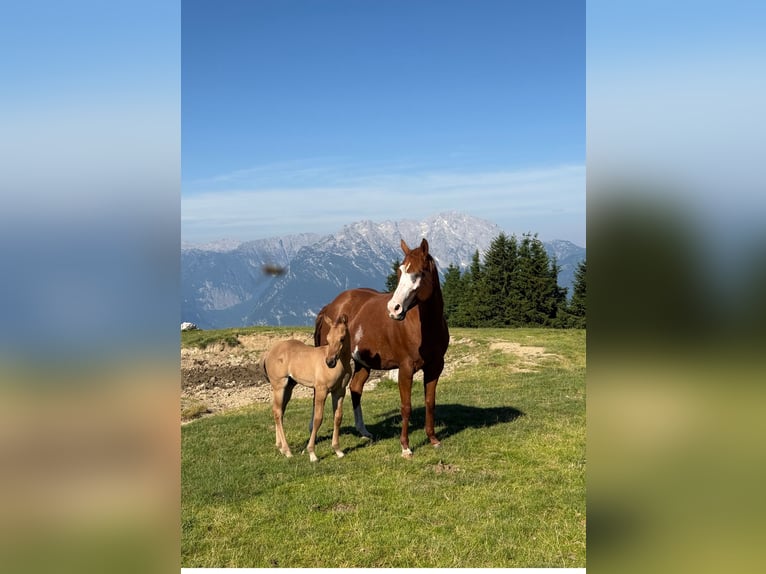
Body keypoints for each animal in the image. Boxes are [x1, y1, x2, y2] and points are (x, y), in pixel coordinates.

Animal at [262, 314, 352, 462]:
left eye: (342, 338)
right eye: (328, 339)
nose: (330, 362)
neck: (341, 365)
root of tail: (269, 352)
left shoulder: (340, 391)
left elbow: (338, 417)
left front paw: (338, 450)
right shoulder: (321, 390)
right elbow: (317, 419)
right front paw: (312, 453)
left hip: (288, 388)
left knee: (279, 411)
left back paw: (280, 447)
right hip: (279, 386)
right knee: (277, 412)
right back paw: (287, 451)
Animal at [314, 238, 449, 458]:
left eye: (419, 272)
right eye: (400, 271)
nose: (394, 308)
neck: (424, 327)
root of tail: (331, 306)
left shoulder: (435, 367)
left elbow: (430, 402)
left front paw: (433, 439)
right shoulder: (405, 369)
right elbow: (406, 406)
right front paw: (405, 447)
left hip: (362, 362)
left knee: (355, 388)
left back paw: (364, 432)